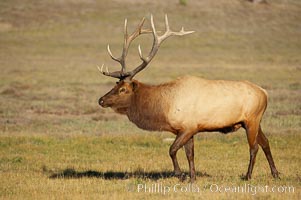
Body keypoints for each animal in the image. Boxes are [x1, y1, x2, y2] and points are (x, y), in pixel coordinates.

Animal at [97, 14, 278, 182]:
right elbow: (190, 154)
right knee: (266, 142)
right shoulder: (188, 129)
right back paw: (275, 174)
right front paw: (192, 177)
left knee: (254, 147)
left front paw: (180, 174)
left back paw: (248, 176)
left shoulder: (188, 127)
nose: (101, 100)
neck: (164, 108)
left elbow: (172, 150)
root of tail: (264, 92)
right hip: (254, 121)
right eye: (115, 84)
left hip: (252, 119)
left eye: (123, 89)